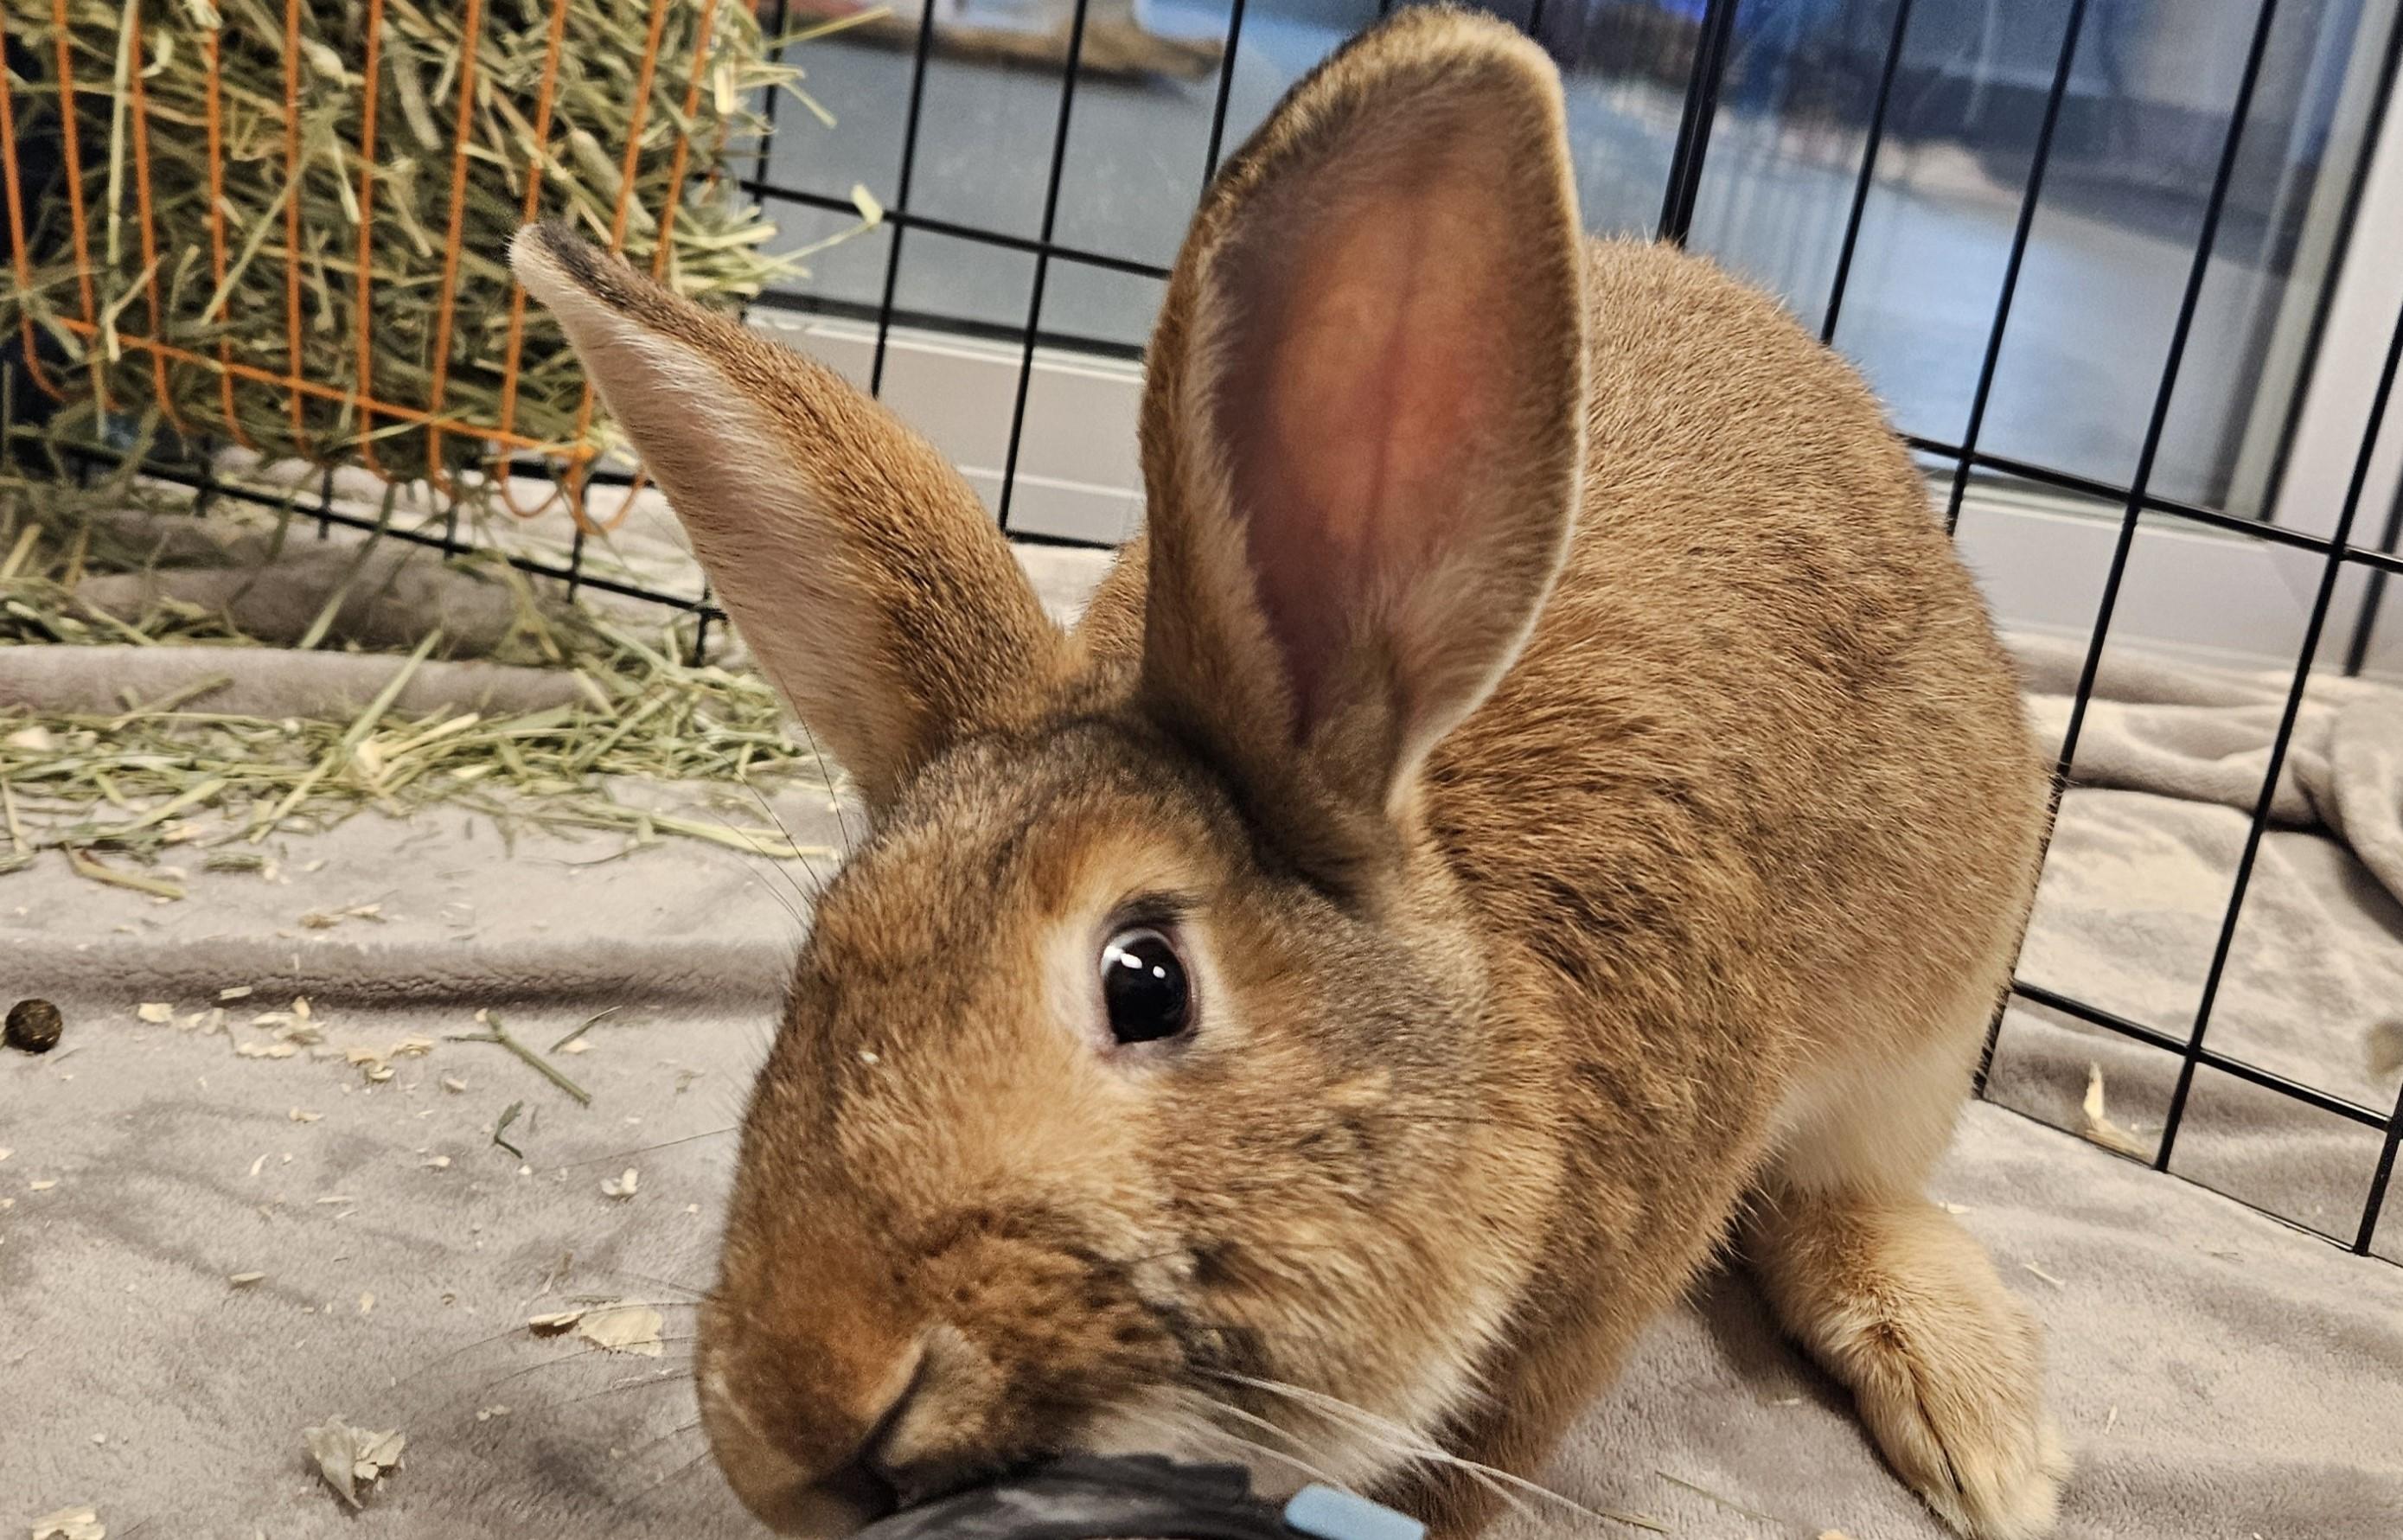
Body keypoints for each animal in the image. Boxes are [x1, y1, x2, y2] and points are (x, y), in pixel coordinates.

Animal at [507, 6, 2063, 1537]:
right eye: (819, 958)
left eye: (1145, 983)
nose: (794, 1424)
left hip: (1924, 1024)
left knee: (1844, 1193)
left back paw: (1978, 1431)